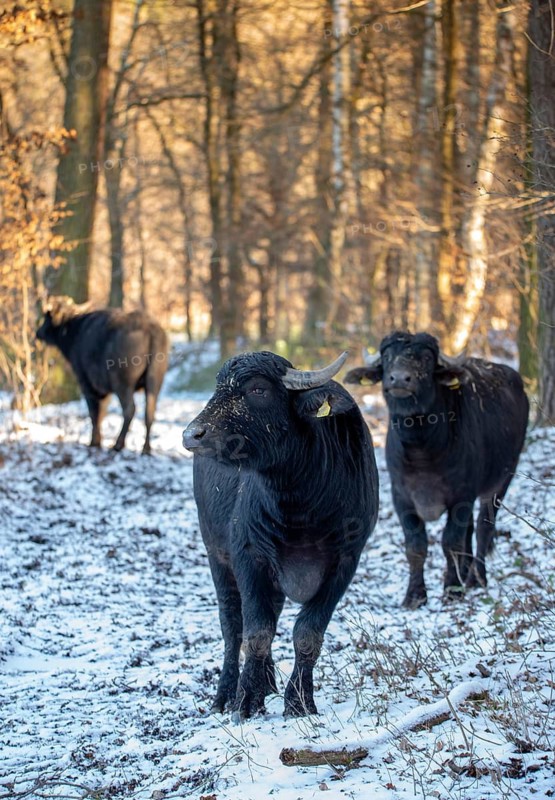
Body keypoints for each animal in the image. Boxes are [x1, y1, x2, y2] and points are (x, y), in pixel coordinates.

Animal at [36, 297, 168, 454]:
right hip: (155, 382)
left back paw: (118, 444)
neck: (75, 331)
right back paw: (146, 448)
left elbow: (94, 413)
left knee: (130, 409)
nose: (38, 333)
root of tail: (150, 328)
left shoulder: (86, 384)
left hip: (122, 383)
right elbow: (102, 412)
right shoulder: (105, 390)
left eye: (47, 316)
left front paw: (94, 442)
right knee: (150, 412)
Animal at [183, 351, 379, 719]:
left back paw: (268, 682)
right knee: (233, 625)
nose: (192, 434)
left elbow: (307, 633)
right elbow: (256, 632)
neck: (301, 506)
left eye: (258, 389)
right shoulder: (248, 555)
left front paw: (299, 701)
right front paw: (246, 701)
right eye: (218, 387)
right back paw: (226, 693)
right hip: (216, 555)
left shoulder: (346, 560)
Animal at [345, 331, 529, 608]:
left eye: (426, 359)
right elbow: (416, 546)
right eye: (387, 357)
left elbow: (450, 542)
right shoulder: (401, 498)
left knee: (484, 528)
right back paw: (465, 571)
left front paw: (452, 589)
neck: (422, 452)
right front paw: (414, 595)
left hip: (501, 480)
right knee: (470, 529)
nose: (399, 378)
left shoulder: (461, 496)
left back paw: (475, 578)